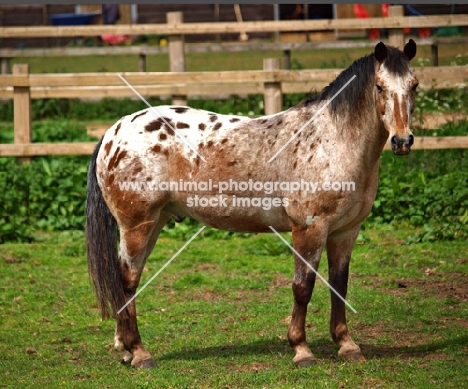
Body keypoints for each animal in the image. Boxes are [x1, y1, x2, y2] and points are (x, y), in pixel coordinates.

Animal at [86, 38, 418, 366]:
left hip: (153, 223)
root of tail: (114, 133)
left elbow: (339, 286)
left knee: (128, 279)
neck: (331, 141)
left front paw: (347, 346)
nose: (402, 141)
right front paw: (301, 350)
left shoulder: (345, 231)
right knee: (127, 280)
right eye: (379, 86)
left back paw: (125, 349)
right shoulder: (309, 229)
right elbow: (303, 287)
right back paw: (139, 352)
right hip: (137, 225)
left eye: (414, 85)